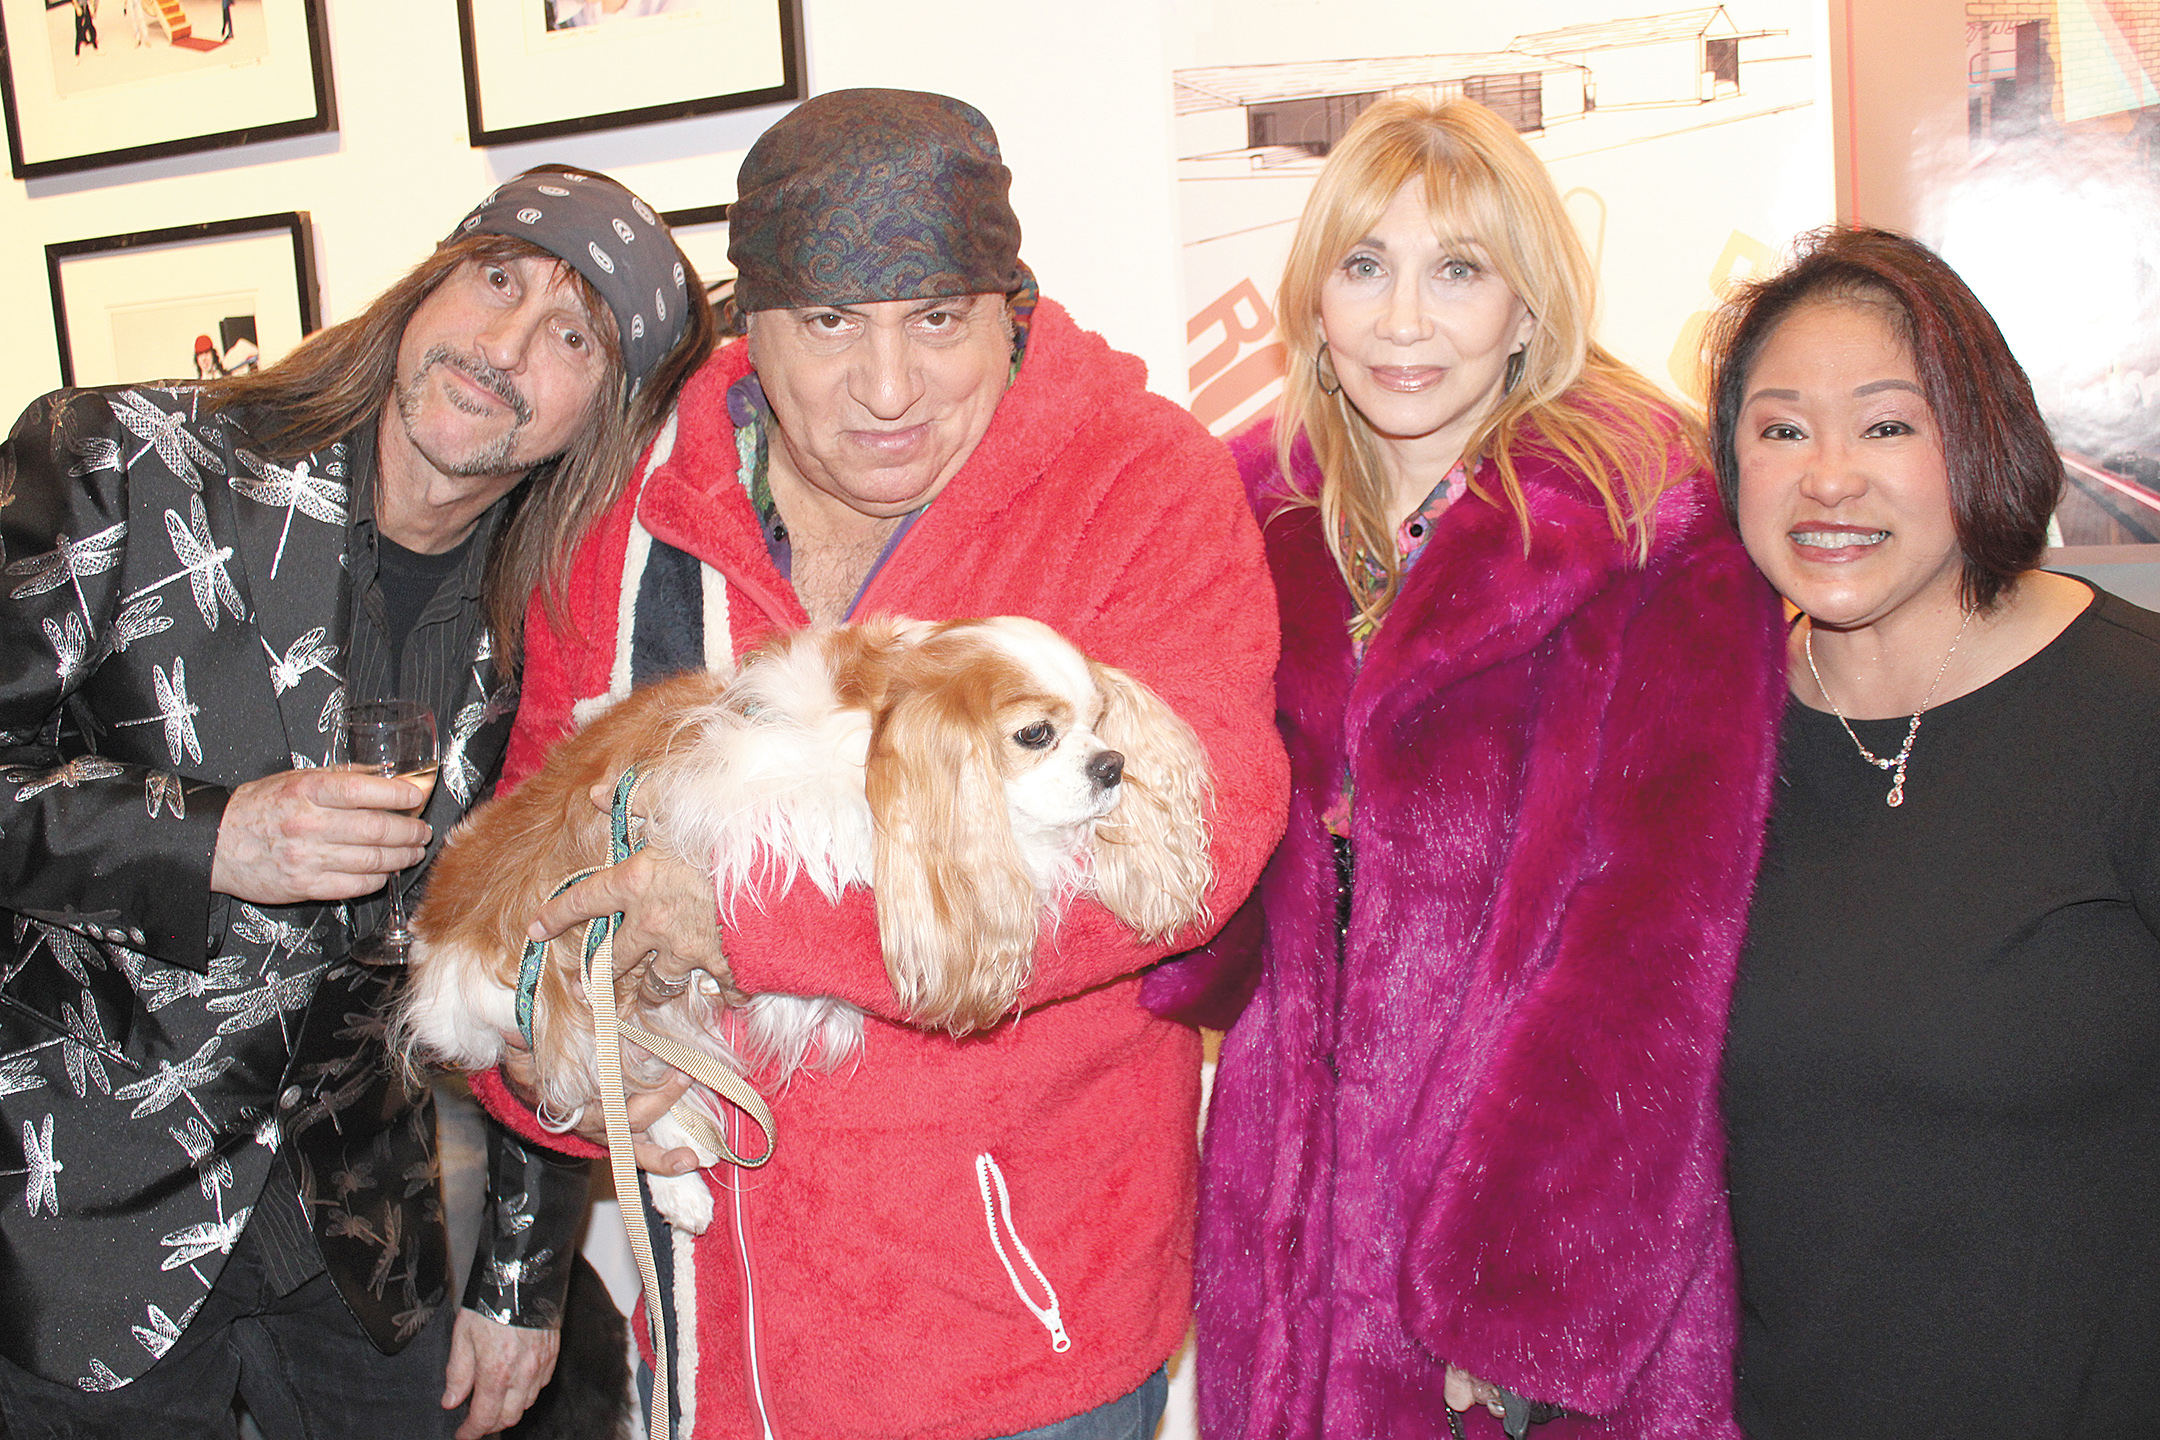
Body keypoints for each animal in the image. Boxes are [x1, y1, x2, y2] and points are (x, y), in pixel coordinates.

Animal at [398, 616, 1213, 1232]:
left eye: (1101, 723)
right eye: (1036, 735)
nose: (1112, 765)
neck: (873, 727)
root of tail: (433, 953)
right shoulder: (741, 796)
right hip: (547, 989)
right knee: (609, 1086)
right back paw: (683, 1183)